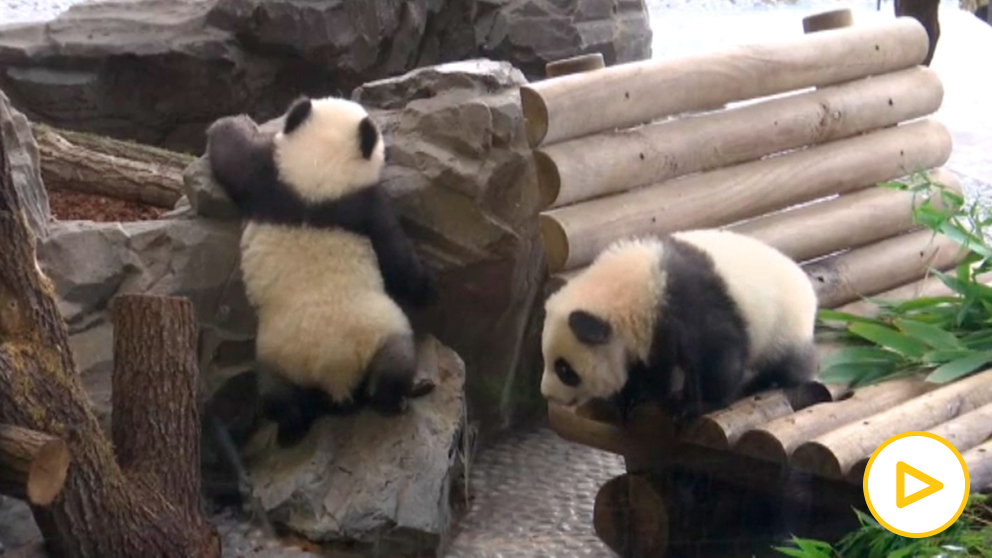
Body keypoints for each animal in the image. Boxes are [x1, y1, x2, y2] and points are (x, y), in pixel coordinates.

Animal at [205, 94, 437, 447]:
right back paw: (399, 397)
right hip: (378, 329)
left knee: (276, 397)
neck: (318, 173)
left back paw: (290, 428)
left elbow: (231, 158)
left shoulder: (268, 180)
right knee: (396, 361)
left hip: (276, 359)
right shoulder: (367, 206)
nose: (389, 151)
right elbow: (398, 260)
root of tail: (335, 379)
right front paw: (426, 287)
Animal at [540, 229, 819, 424]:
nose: (548, 395)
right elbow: (652, 366)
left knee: (787, 364)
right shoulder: (650, 330)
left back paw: (764, 381)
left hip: (784, 327)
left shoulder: (689, 305)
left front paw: (692, 406)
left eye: (565, 369)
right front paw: (631, 398)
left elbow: (717, 354)